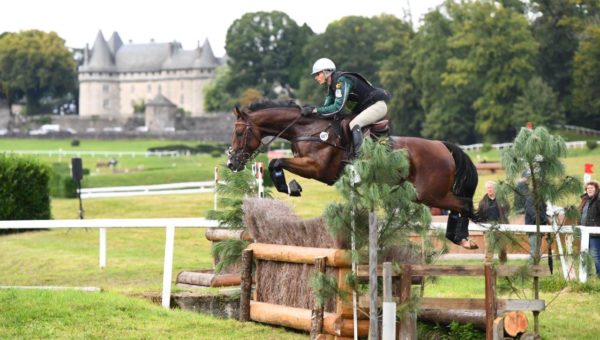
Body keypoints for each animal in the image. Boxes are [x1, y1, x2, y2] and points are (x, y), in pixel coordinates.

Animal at [227, 99, 480, 248]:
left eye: (239, 132)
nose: (231, 162)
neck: (308, 129)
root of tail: (443, 146)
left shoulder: (317, 168)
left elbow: (276, 162)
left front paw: (290, 187)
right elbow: (276, 163)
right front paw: (292, 187)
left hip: (429, 193)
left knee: (464, 204)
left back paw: (463, 239)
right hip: (427, 193)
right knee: (461, 205)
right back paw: (457, 237)